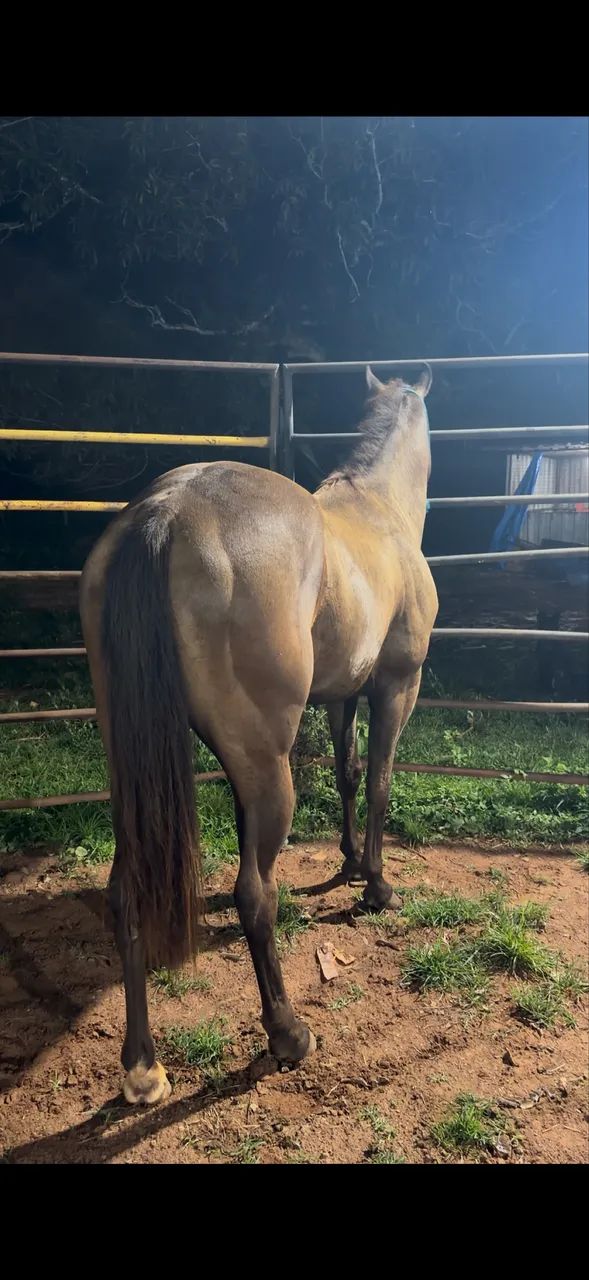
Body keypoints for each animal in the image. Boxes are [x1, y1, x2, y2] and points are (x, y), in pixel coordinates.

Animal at [79, 364, 438, 1105]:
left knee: (126, 890)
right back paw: (287, 1034)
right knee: (255, 894)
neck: (378, 513)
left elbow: (347, 773)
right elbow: (381, 783)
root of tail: (165, 512)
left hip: (138, 770)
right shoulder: (396, 687)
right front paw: (375, 886)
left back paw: (143, 1067)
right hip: (269, 765)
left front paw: (349, 863)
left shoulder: (341, 694)